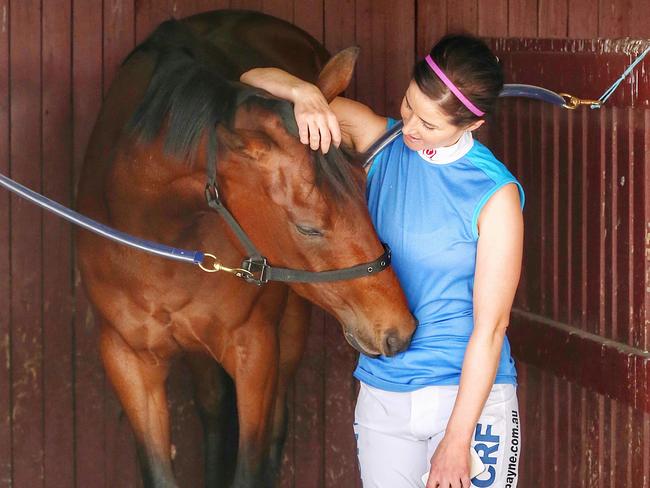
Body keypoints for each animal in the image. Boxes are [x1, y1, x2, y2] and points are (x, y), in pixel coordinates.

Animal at [73, 8, 412, 488]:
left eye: (366, 187)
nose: (400, 330)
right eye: (308, 228)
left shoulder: (255, 349)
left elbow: (253, 460)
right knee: (214, 410)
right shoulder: (128, 359)